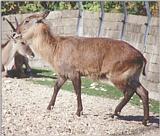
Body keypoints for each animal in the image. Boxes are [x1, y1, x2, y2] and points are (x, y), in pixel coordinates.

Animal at [16, 11, 149, 125]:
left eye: (27, 20)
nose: (15, 33)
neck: (55, 49)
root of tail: (142, 57)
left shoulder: (74, 72)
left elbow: (77, 91)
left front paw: (78, 112)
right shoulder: (63, 74)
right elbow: (56, 87)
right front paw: (49, 107)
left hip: (117, 75)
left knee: (129, 92)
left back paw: (115, 112)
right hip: (133, 76)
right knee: (143, 92)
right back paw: (144, 121)